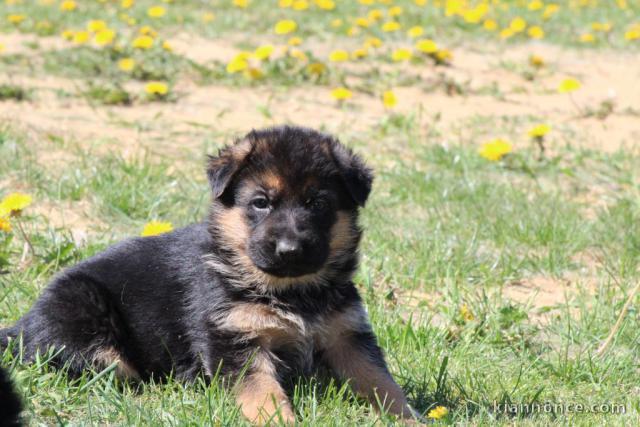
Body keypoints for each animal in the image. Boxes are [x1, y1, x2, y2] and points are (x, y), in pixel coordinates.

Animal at [0, 126, 418, 424]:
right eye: (260, 203)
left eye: (317, 203)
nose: (290, 250)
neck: (290, 292)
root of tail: (21, 327)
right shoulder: (234, 340)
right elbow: (263, 391)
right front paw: (280, 420)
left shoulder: (348, 335)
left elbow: (382, 382)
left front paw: (409, 418)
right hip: (86, 319)